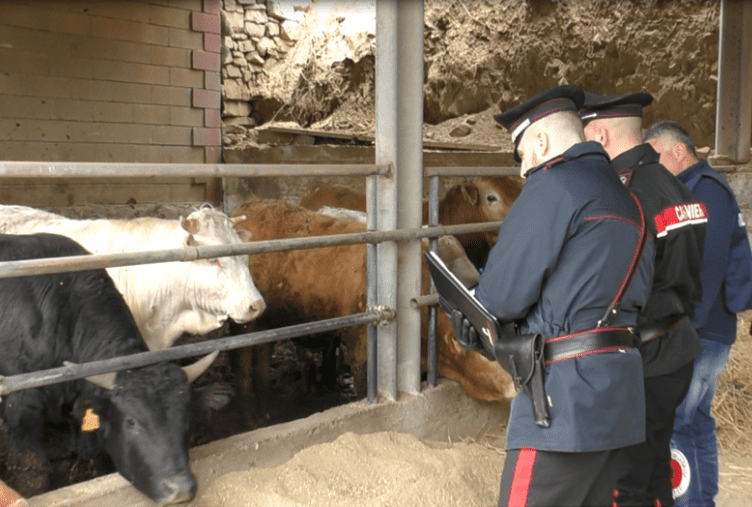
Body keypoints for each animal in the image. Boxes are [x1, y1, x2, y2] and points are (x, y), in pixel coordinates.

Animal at [229, 197, 512, 420]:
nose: (514, 381)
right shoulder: (362, 348)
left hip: (267, 324)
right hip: (246, 323)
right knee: (242, 367)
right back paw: (250, 417)